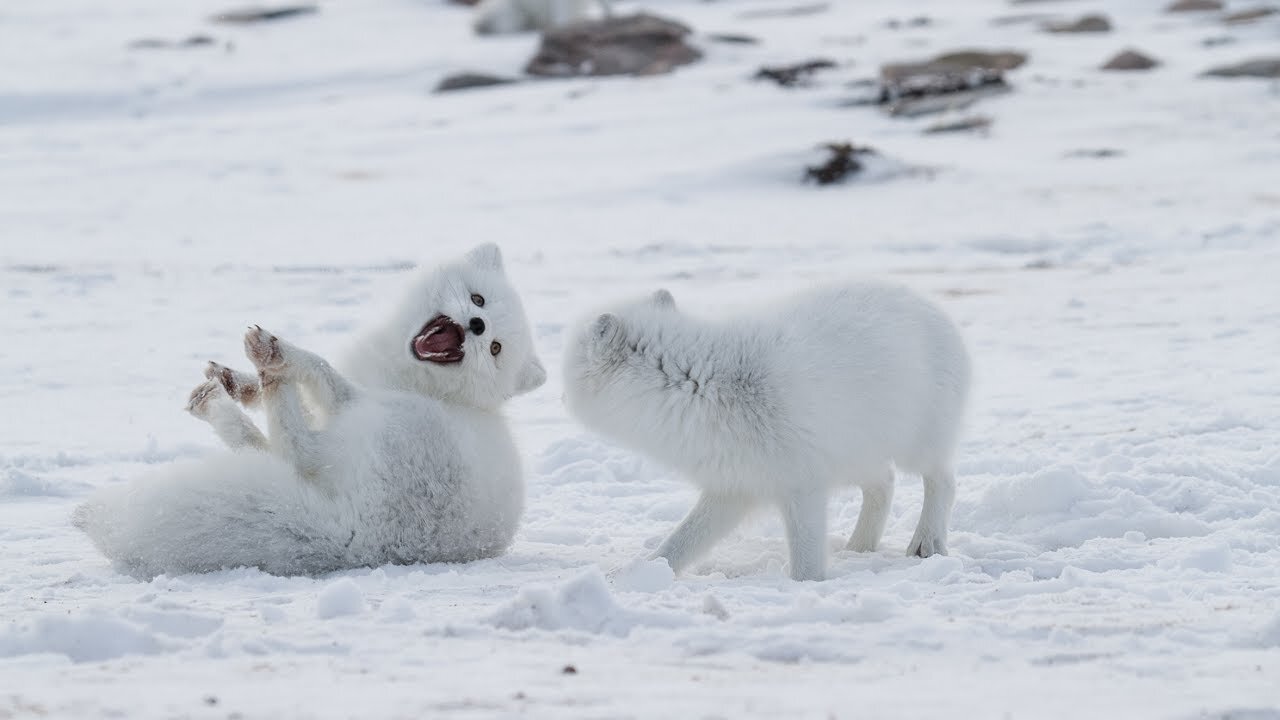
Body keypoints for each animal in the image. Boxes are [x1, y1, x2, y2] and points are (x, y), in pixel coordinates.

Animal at [73, 242, 545, 576]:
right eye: (478, 299)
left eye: (496, 349)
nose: (477, 326)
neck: (411, 376)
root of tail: (359, 541)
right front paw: (241, 383)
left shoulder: (351, 395)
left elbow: (320, 369)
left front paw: (274, 360)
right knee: (273, 451)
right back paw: (226, 393)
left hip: (385, 420)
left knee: (295, 447)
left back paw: (264, 366)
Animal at [560, 280, 967, 576]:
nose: (560, 397)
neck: (702, 386)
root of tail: (933, 308)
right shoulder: (733, 486)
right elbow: (683, 541)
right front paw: (640, 573)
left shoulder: (801, 484)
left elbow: (805, 558)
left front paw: (809, 586)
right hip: (855, 454)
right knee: (884, 483)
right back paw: (859, 547)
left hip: (916, 446)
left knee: (943, 481)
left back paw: (927, 543)